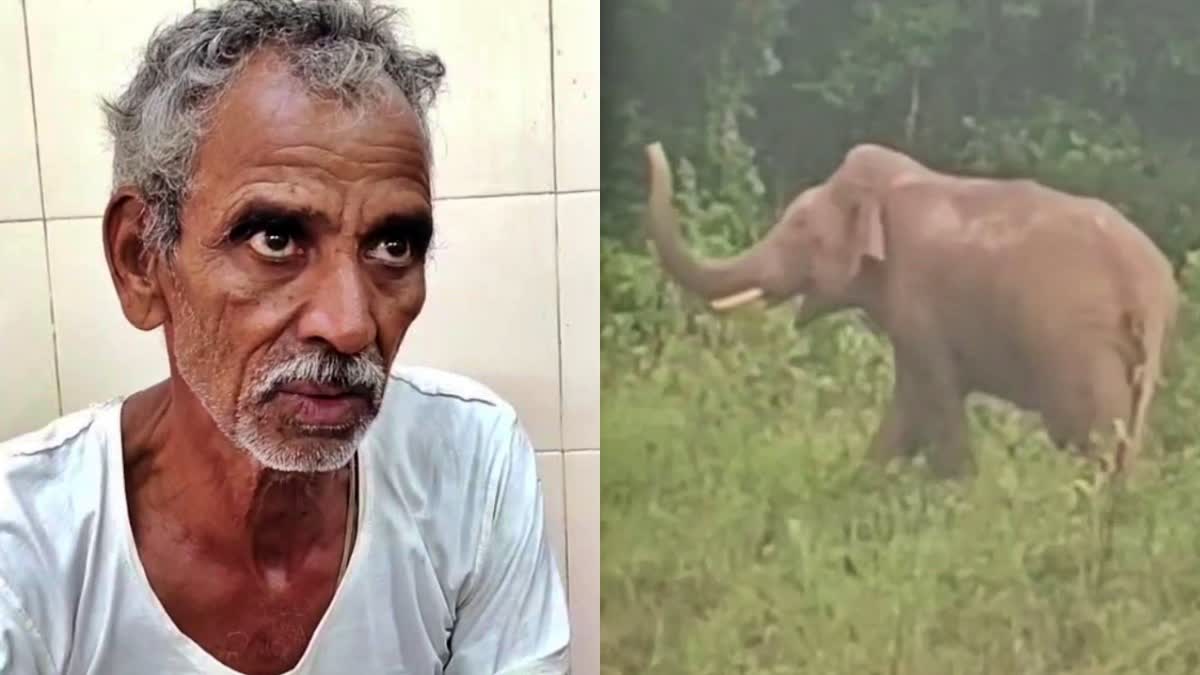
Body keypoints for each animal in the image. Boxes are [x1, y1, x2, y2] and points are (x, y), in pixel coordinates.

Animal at [641, 141, 1179, 477]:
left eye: (800, 230)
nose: (651, 150)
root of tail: (1145, 285)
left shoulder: (919, 301)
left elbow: (935, 400)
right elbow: (906, 410)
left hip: (1078, 345)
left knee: (1086, 437)